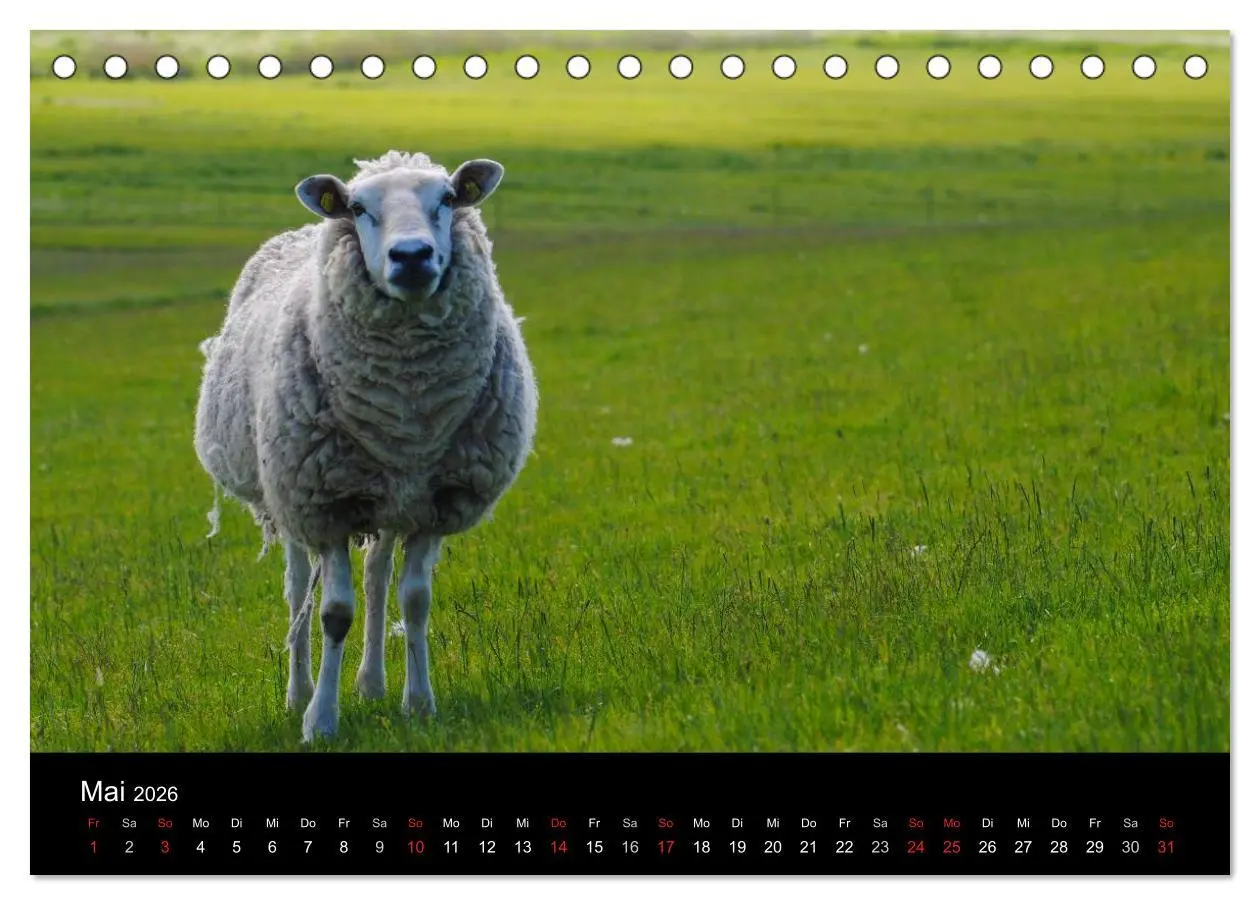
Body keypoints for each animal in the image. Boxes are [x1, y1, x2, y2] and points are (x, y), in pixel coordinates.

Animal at [194, 150, 538, 741]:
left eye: (448, 198)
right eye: (357, 208)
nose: (412, 256)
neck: (408, 408)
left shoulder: (436, 503)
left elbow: (415, 602)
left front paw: (419, 704)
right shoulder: (325, 505)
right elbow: (334, 613)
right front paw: (321, 721)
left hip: (391, 500)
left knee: (377, 579)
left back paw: (372, 683)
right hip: (289, 498)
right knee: (297, 590)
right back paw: (299, 692)